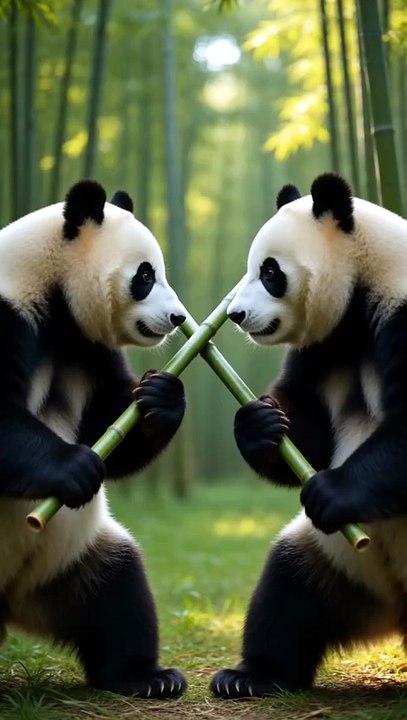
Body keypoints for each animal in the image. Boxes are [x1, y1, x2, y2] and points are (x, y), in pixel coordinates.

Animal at [0, 180, 188, 698]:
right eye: (145, 275)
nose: (178, 318)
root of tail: (11, 604)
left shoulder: (84, 343)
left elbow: (109, 420)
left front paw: (161, 396)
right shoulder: (8, 313)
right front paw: (74, 467)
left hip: (72, 560)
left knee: (119, 592)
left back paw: (145, 676)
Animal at [211, 173, 407, 699]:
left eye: (270, 271)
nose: (236, 315)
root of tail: (395, 612)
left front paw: (333, 492)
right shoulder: (327, 341)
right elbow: (310, 429)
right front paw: (259, 424)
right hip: (337, 561)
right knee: (288, 590)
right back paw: (251, 675)